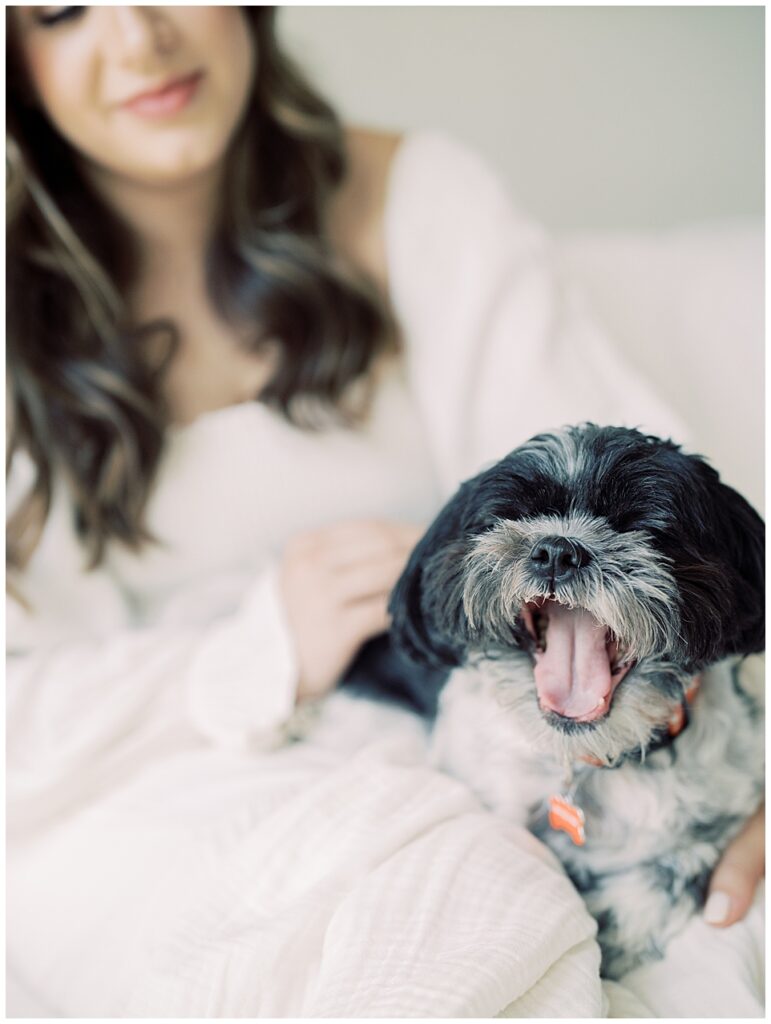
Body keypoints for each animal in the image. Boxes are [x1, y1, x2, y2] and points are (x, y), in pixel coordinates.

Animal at [348, 421, 765, 974]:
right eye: (510, 517)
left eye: (645, 525)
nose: (557, 550)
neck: (591, 759)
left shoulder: (726, 811)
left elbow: (671, 870)